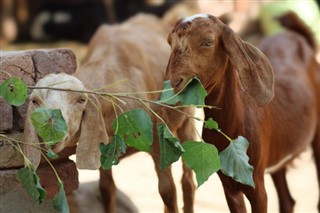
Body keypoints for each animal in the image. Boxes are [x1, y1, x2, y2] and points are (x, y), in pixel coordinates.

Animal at [165, 13, 320, 213]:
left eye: (208, 42)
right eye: (170, 42)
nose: (175, 82)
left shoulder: (256, 185)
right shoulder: (229, 184)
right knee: (287, 200)